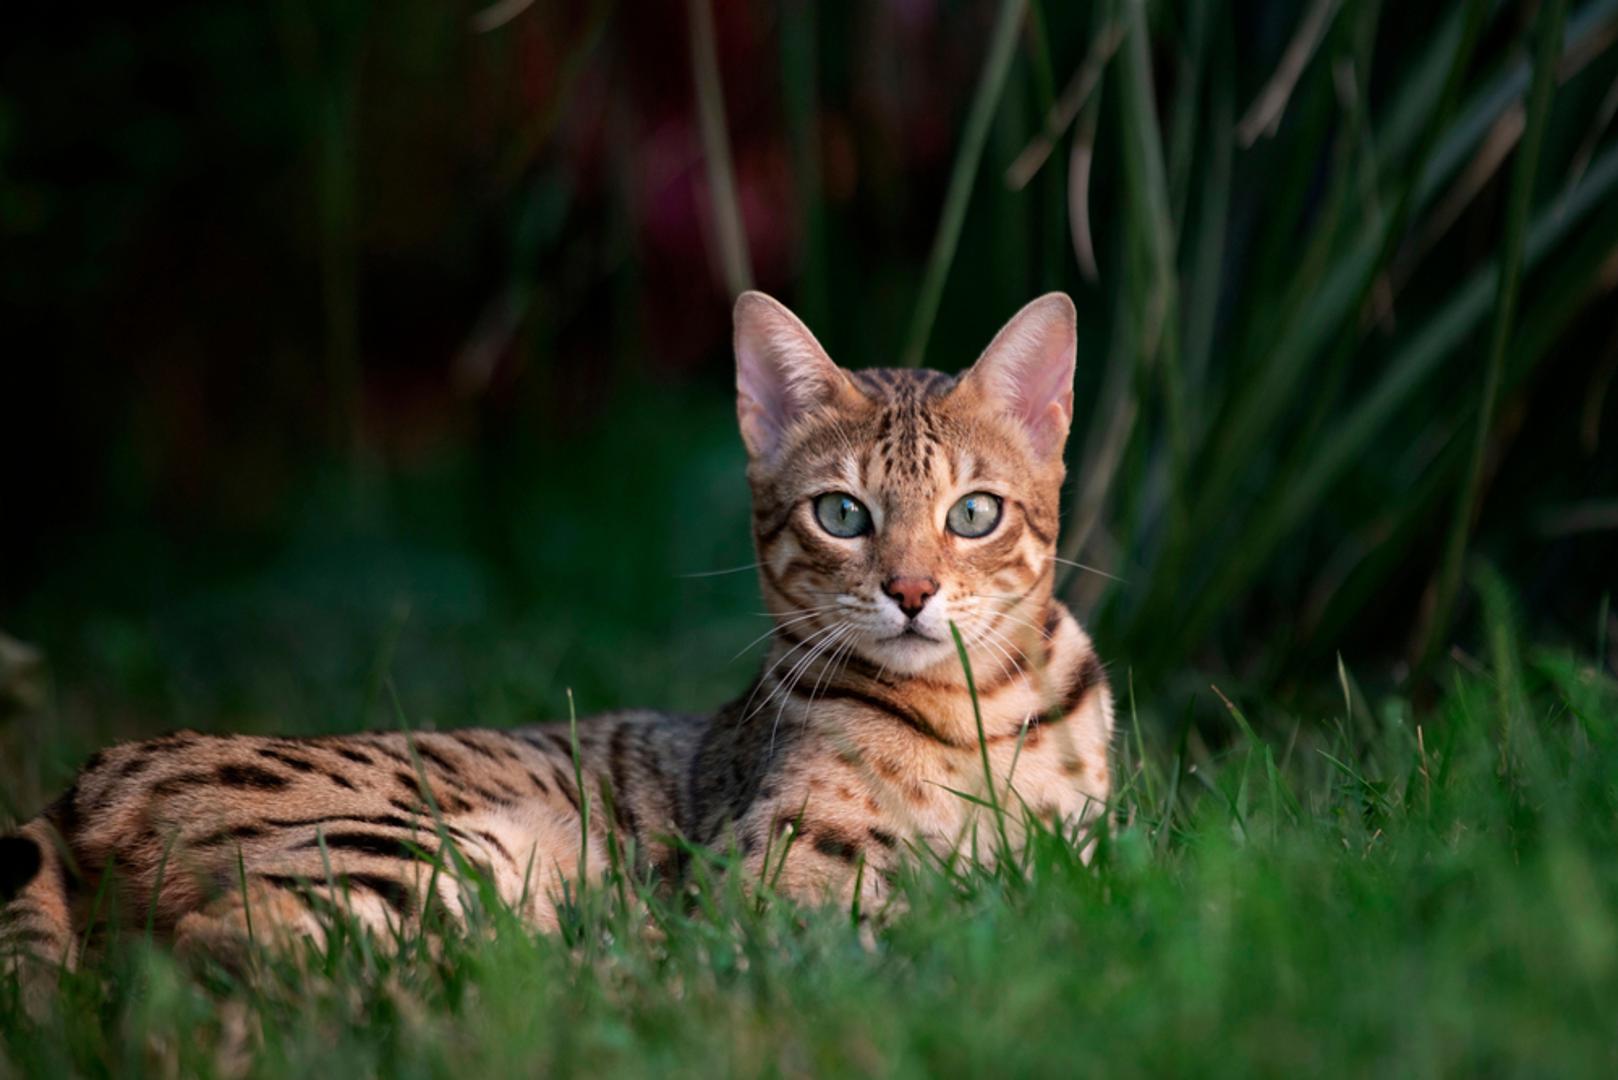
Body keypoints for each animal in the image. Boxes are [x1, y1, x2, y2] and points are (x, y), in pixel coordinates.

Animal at [0, 291, 1113, 1003]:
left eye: (973, 513)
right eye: (842, 513)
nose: (911, 592)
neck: (972, 718)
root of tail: (80, 784)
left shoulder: (1087, 847)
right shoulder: (763, 878)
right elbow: (880, 926)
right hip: (424, 851)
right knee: (233, 958)